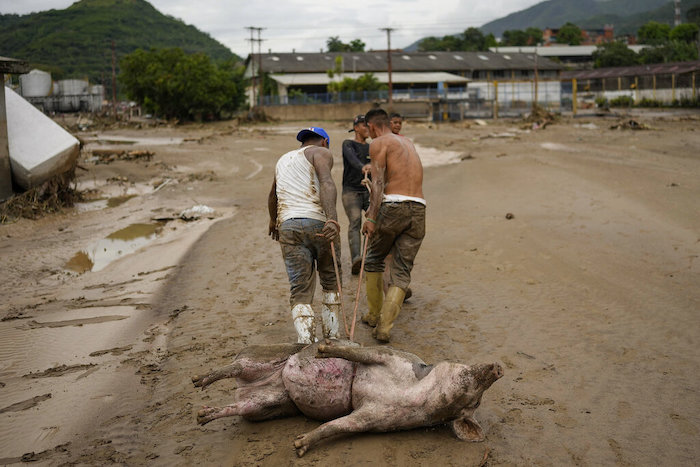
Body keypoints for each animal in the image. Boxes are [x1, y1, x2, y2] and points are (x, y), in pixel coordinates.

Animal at [191, 340, 500, 458]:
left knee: (240, 405)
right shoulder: (388, 357)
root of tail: (243, 388)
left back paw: (202, 415)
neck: (416, 395)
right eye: (466, 370)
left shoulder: (372, 418)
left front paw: (299, 446)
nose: (498, 367)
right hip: (261, 357)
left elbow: (338, 425)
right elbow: (360, 352)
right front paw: (326, 348)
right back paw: (197, 382)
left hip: (267, 403)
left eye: (475, 404)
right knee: (235, 365)